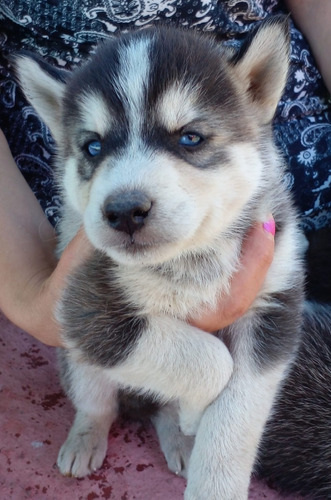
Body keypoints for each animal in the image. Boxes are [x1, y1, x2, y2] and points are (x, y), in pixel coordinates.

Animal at [14, 17, 308, 498]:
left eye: (190, 137)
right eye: (93, 147)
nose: (124, 210)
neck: (191, 261)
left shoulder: (273, 309)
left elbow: (236, 416)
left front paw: (211, 471)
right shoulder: (86, 308)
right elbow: (210, 360)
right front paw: (196, 412)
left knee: (158, 409)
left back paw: (180, 438)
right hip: (77, 361)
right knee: (98, 404)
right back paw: (86, 438)